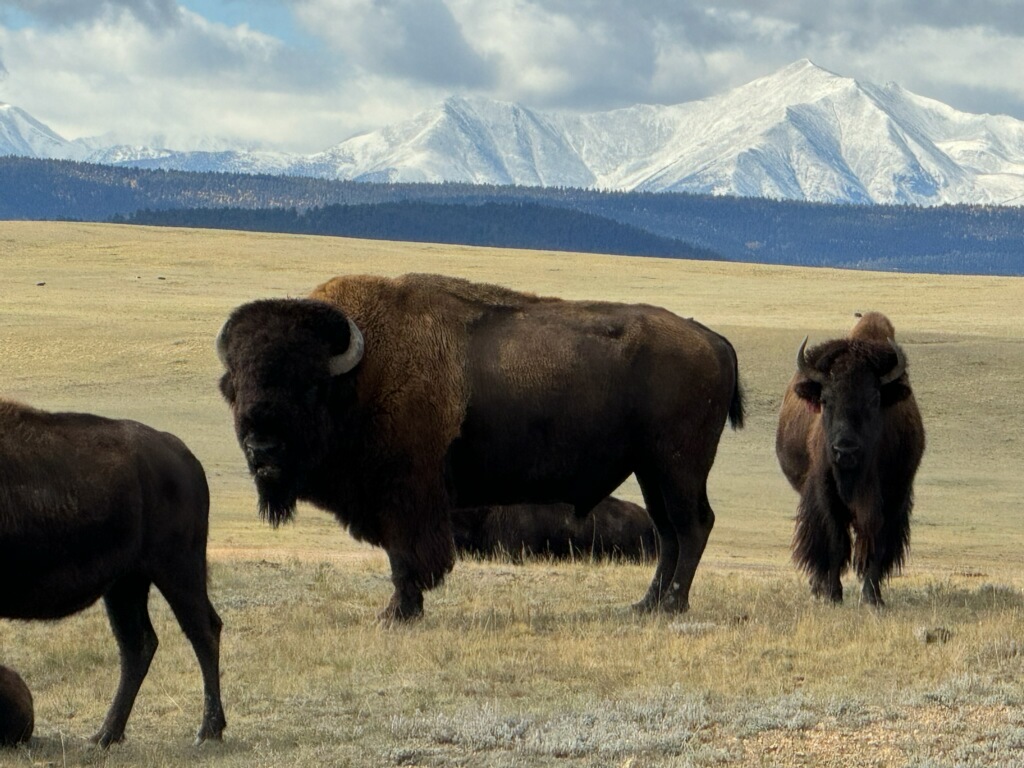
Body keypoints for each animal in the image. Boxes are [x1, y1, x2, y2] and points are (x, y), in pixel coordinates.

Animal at [0, 400, 225, 746]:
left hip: (177, 570)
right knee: (139, 644)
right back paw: (105, 735)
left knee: (203, 632)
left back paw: (207, 732)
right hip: (126, 584)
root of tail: (184, 457)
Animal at [775, 312, 925, 605]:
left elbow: (876, 543)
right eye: (825, 399)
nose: (845, 451)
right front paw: (833, 595)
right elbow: (835, 541)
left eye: (874, 399)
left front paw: (872, 597)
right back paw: (818, 588)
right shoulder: (826, 495)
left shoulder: (892, 498)